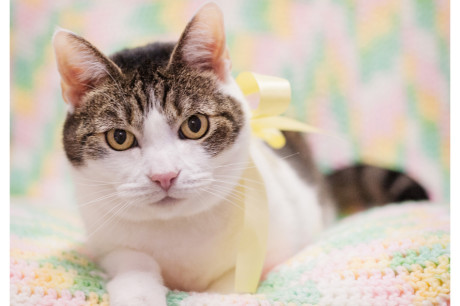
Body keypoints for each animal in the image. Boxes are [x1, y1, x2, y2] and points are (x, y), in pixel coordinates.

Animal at [51, 2, 428, 306]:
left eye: (195, 125)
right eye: (119, 137)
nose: (165, 175)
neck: (178, 231)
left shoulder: (275, 243)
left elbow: (230, 283)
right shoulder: (105, 241)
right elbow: (131, 261)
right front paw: (139, 292)